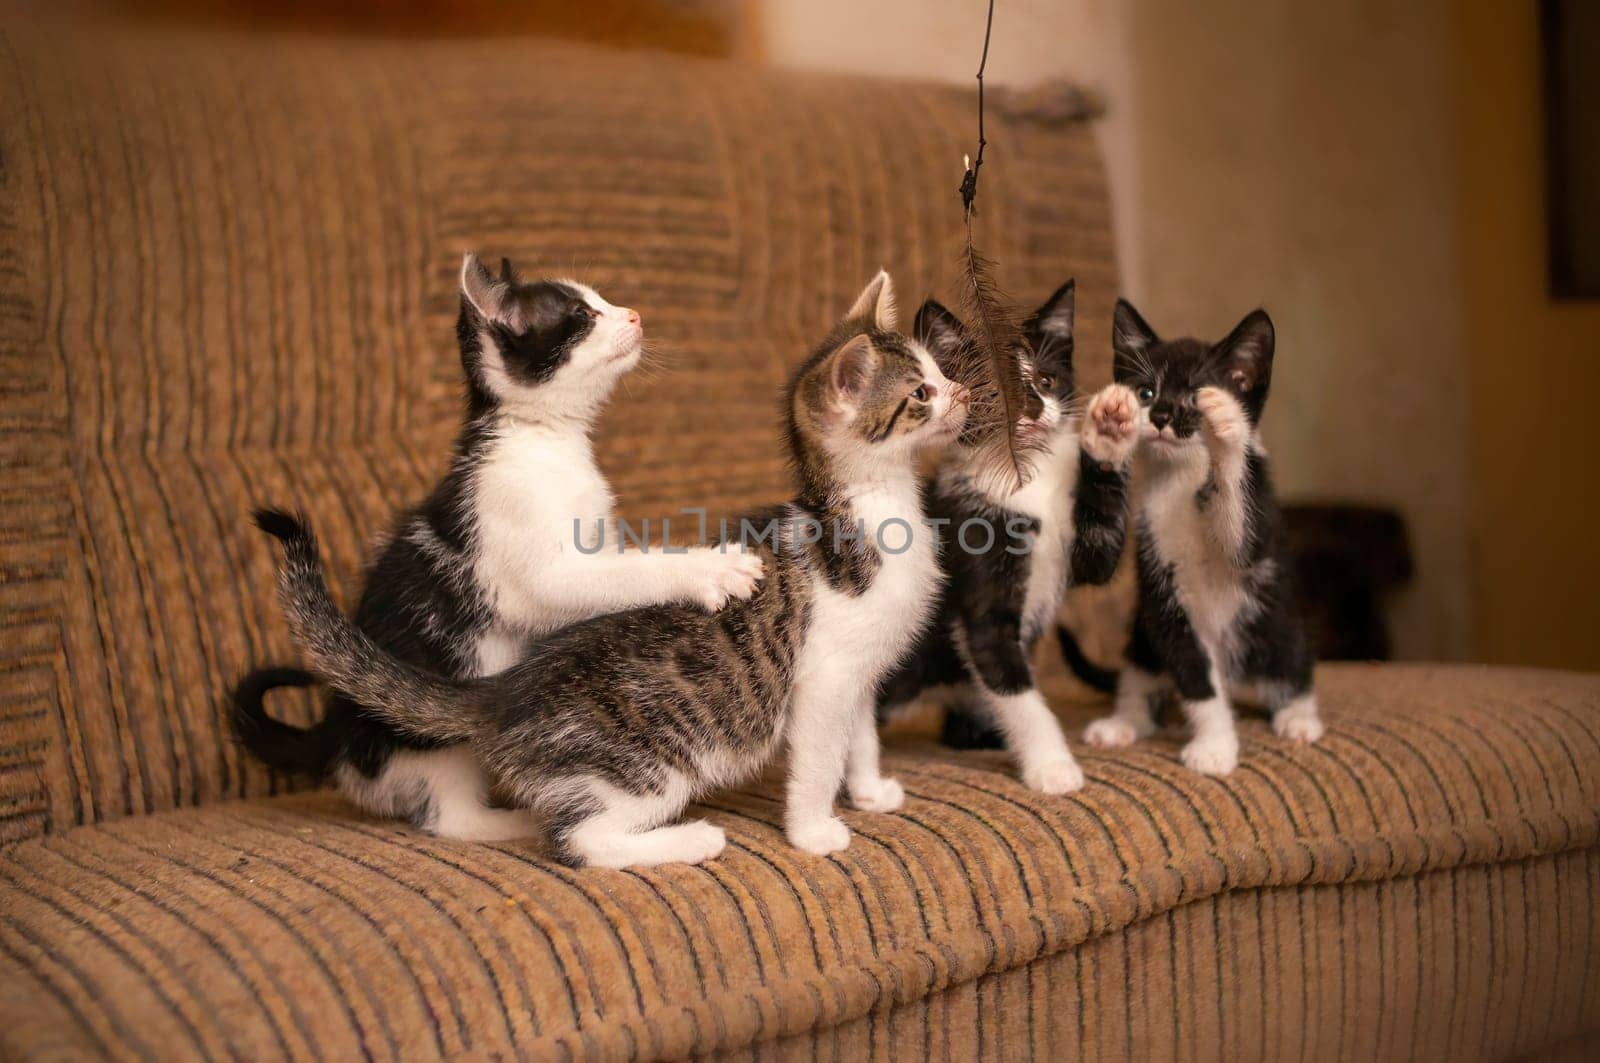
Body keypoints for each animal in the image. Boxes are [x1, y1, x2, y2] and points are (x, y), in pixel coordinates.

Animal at [256, 270, 966, 870]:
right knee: (579, 839)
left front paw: (869, 790)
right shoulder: (825, 677)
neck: (867, 510)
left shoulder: (862, 674)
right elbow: (819, 754)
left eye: (940, 372)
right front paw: (816, 831)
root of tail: (506, 692)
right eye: (921, 392)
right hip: (650, 762)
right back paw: (687, 839)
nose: (963, 393)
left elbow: (860, 734)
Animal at [1081, 299, 1331, 771]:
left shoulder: (1258, 520)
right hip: (1142, 635)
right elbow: (1196, 679)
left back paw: (1298, 718)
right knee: (1143, 678)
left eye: (1195, 396)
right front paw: (1215, 745)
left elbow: (1240, 530)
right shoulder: (1164, 597)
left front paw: (1227, 430)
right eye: (1146, 393)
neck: (1180, 478)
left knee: (1291, 670)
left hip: (1277, 624)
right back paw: (1123, 723)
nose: (1161, 417)